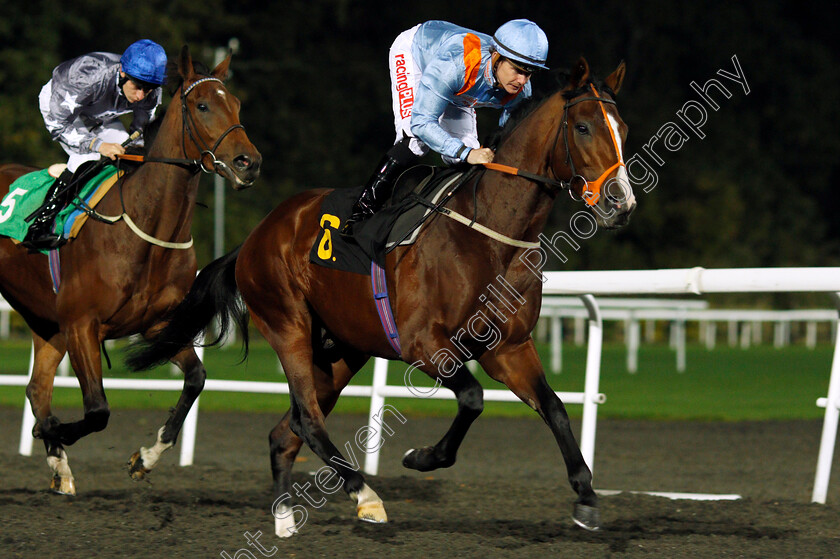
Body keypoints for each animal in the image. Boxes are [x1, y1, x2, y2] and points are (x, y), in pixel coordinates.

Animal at [0, 47, 260, 494]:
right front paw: (52, 431)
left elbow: (196, 378)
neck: (144, 227)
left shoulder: (157, 325)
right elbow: (98, 410)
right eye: (202, 105)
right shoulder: (82, 325)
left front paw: (146, 457)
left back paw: (60, 469)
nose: (249, 163)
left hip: (45, 320)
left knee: (37, 390)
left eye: (238, 104)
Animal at [130, 57, 632, 540]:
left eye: (622, 129)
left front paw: (587, 496)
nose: (621, 203)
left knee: (285, 432)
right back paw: (364, 495)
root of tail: (256, 236)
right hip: (287, 325)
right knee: (308, 421)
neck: (490, 234)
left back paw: (285, 518)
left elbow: (555, 408)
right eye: (583, 127)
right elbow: (472, 398)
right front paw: (421, 457)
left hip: (340, 351)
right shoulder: (423, 344)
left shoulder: (509, 348)